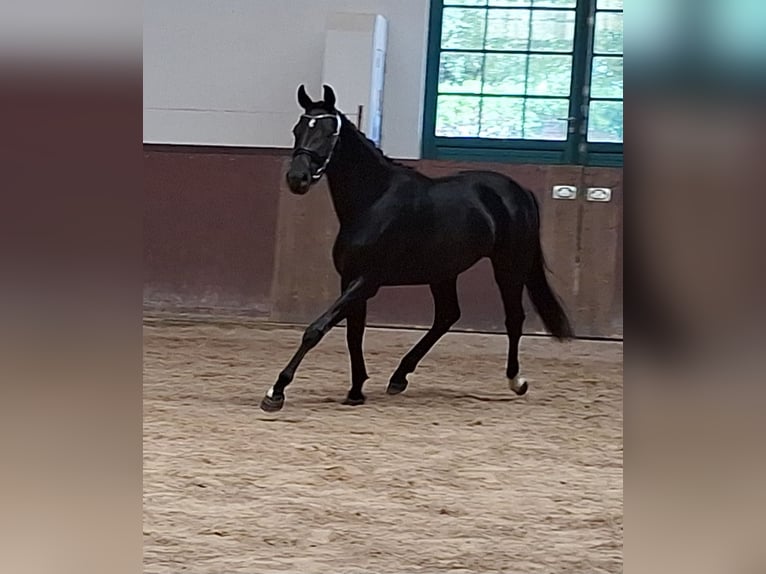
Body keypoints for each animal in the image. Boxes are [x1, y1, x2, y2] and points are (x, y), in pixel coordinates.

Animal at [260, 84, 572, 412]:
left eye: (326, 131)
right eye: (298, 129)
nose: (297, 179)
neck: (373, 201)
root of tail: (519, 191)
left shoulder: (366, 281)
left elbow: (317, 329)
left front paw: (276, 391)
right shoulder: (350, 280)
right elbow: (354, 334)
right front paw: (356, 391)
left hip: (508, 266)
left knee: (513, 318)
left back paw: (516, 380)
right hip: (443, 272)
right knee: (447, 316)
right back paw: (399, 376)